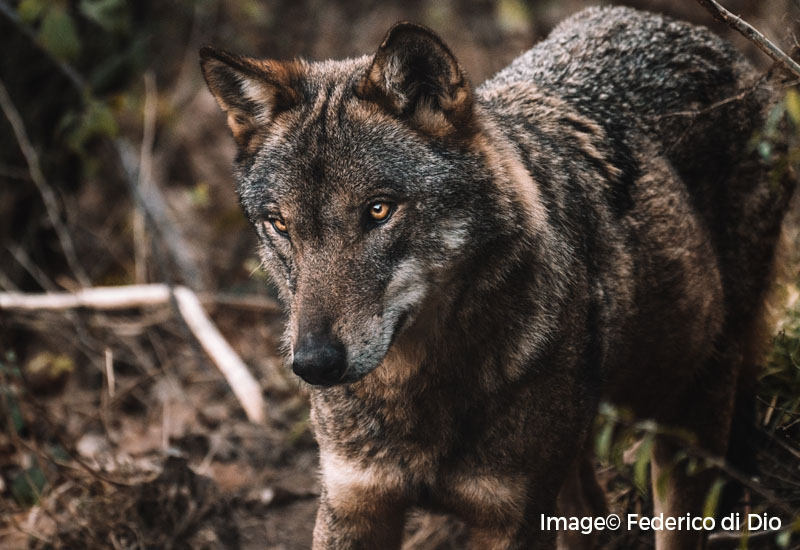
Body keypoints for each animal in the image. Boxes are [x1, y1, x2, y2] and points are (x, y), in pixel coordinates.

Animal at [200, 6, 796, 549]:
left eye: (378, 210)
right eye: (280, 224)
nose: (315, 365)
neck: (417, 391)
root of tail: (694, 32)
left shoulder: (512, 517)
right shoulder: (354, 504)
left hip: (691, 411)